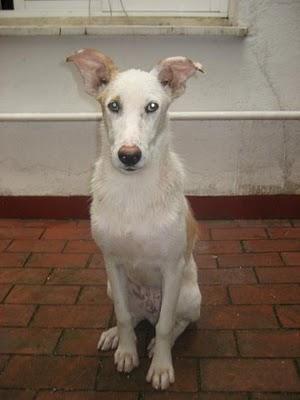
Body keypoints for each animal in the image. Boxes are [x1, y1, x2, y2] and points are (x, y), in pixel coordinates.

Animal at [67, 48, 204, 390]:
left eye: (152, 107)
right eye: (113, 105)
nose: (129, 155)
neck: (133, 191)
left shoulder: (171, 268)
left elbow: (166, 326)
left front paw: (161, 367)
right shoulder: (111, 263)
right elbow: (123, 315)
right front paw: (127, 351)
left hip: (189, 295)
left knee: (176, 322)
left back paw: (155, 343)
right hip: (113, 286)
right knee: (136, 315)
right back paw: (114, 336)